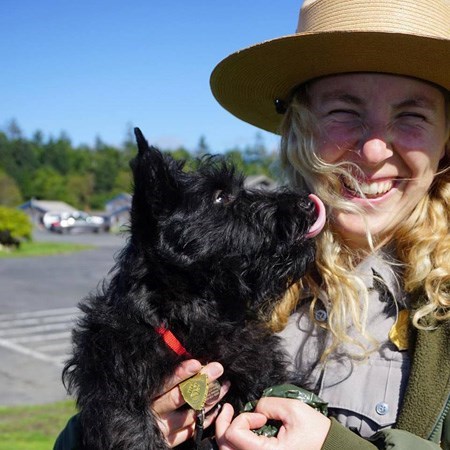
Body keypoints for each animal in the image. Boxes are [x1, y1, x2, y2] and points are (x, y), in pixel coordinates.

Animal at [62, 128, 324, 448]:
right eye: (220, 196)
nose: (308, 202)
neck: (192, 312)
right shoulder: (115, 396)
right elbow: (134, 433)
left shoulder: (258, 369)